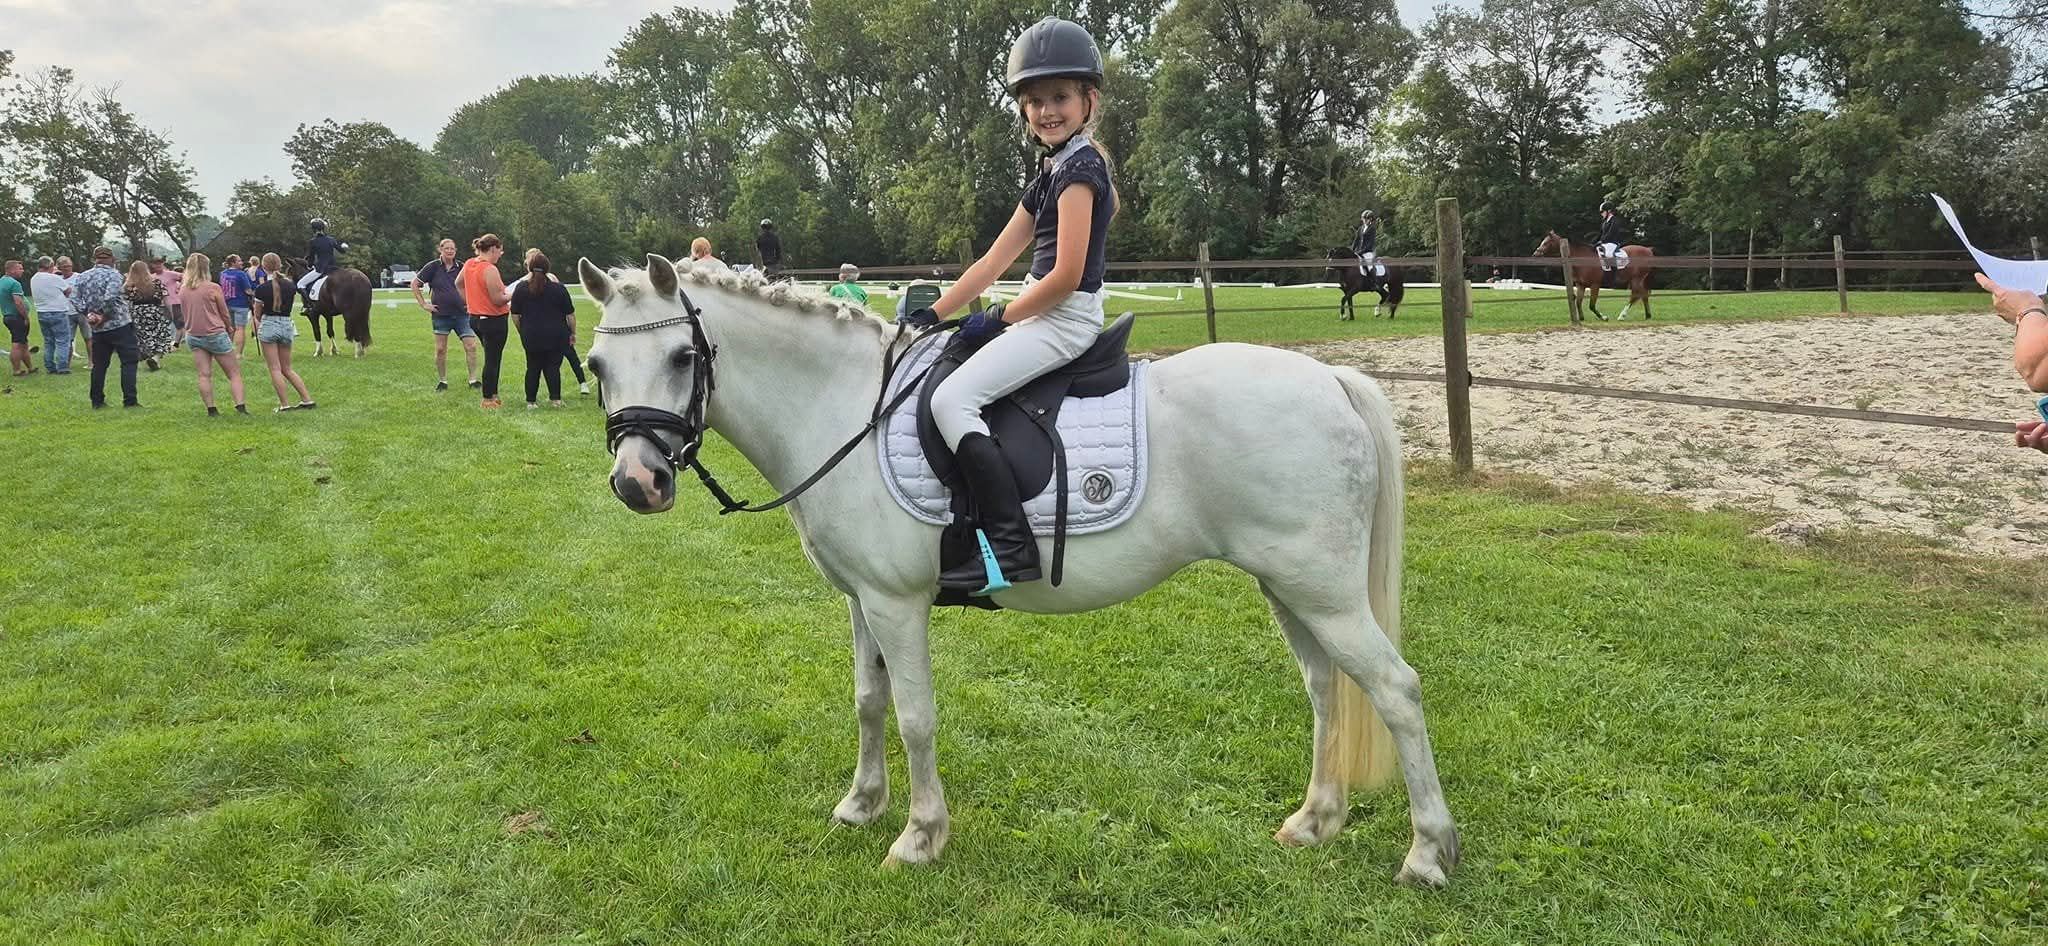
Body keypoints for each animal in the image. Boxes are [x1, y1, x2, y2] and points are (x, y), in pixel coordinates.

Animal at [585, 254, 1460, 885]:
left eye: (683, 355)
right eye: (595, 365)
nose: (637, 483)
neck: (844, 411)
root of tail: (1329, 379)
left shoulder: (897, 604)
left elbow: (915, 715)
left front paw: (919, 836)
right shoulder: (861, 601)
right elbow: (868, 701)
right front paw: (862, 805)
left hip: (1325, 591)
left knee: (1395, 690)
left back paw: (1427, 853)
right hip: (1291, 588)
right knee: (1327, 690)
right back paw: (1316, 821)